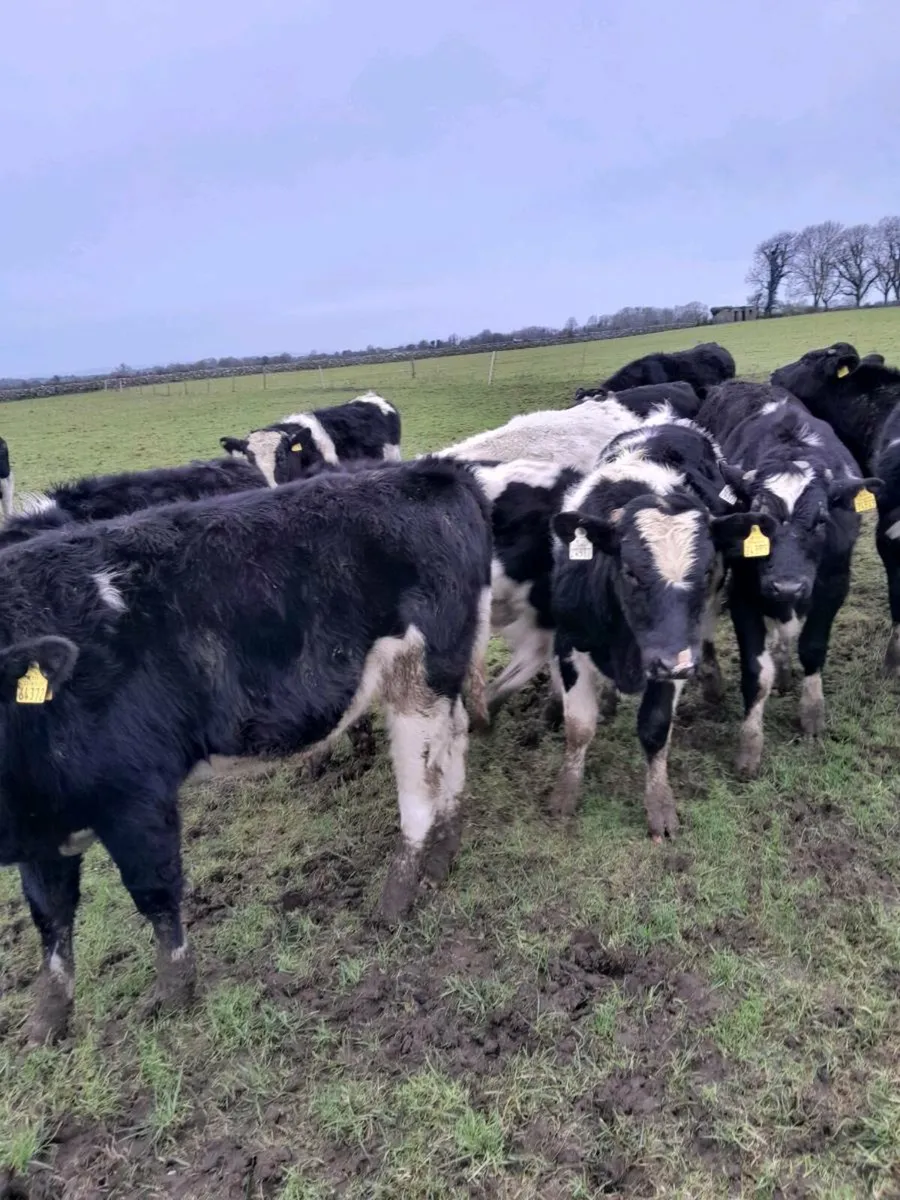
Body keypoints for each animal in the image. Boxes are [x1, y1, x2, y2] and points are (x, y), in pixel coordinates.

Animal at [0, 456, 492, 1044]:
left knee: (420, 786)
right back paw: (442, 857)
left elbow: (155, 895)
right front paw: (45, 1023)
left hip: (418, 680)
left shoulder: (137, 793)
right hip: (441, 680)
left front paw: (173, 996)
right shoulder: (40, 830)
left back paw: (396, 898)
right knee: (453, 747)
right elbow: (49, 917)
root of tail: (434, 470)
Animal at [548, 416, 760, 838]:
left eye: (705, 570)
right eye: (630, 571)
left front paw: (660, 806)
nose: (678, 663)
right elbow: (579, 727)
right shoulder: (568, 642)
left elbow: (655, 727)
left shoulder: (674, 655)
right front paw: (565, 794)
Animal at [697, 379, 880, 776]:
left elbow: (811, 647)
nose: (787, 585)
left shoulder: (833, 585)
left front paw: (812, 714)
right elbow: (756, 671)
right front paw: (750, 745)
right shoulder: (744, 592)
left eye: (821, 520)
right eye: (758, 521)